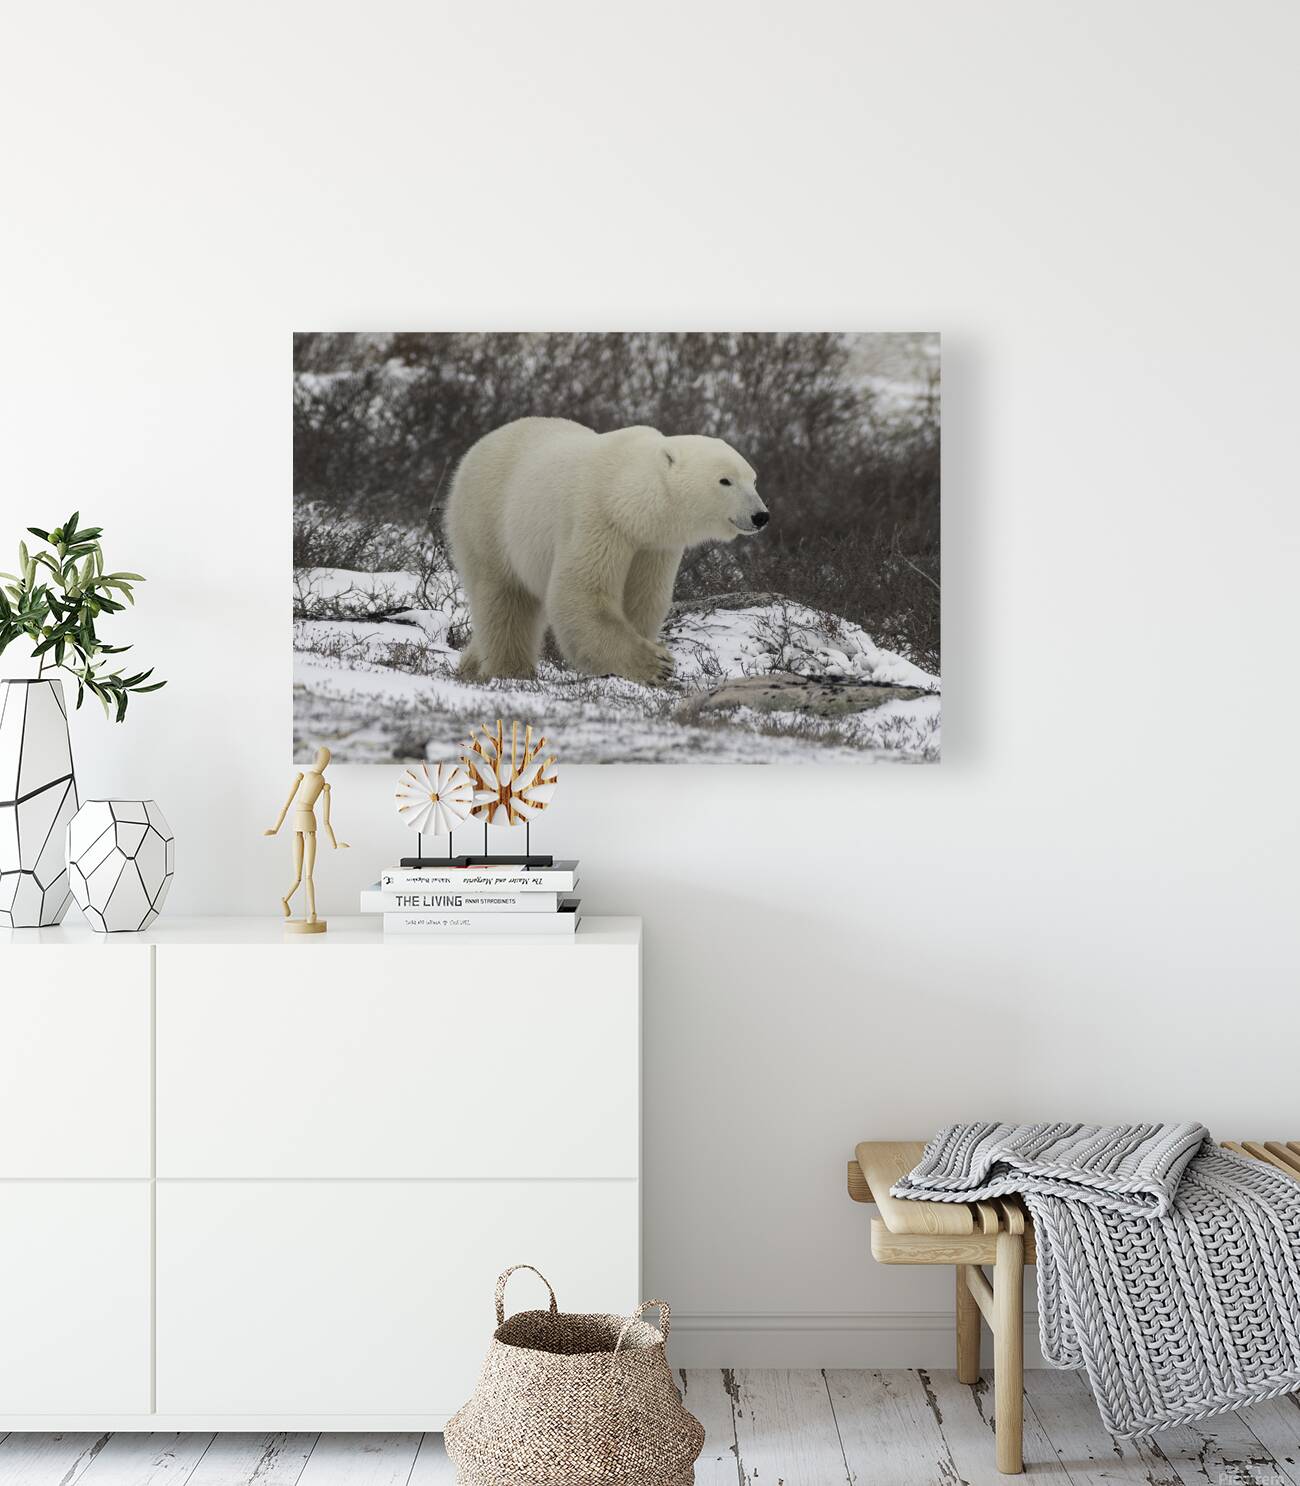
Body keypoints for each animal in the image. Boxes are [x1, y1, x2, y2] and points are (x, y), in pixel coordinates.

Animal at [444, 417, 769, 684]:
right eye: (725, 480)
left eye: (753, 479)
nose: (761, 516)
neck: (626, 497)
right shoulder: (598, 520)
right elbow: (582, 594)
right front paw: (657, 664)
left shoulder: (654, 546)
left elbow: (642, 599)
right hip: (488, 519)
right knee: (505, 598)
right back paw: (511, 670)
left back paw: (470, 666)